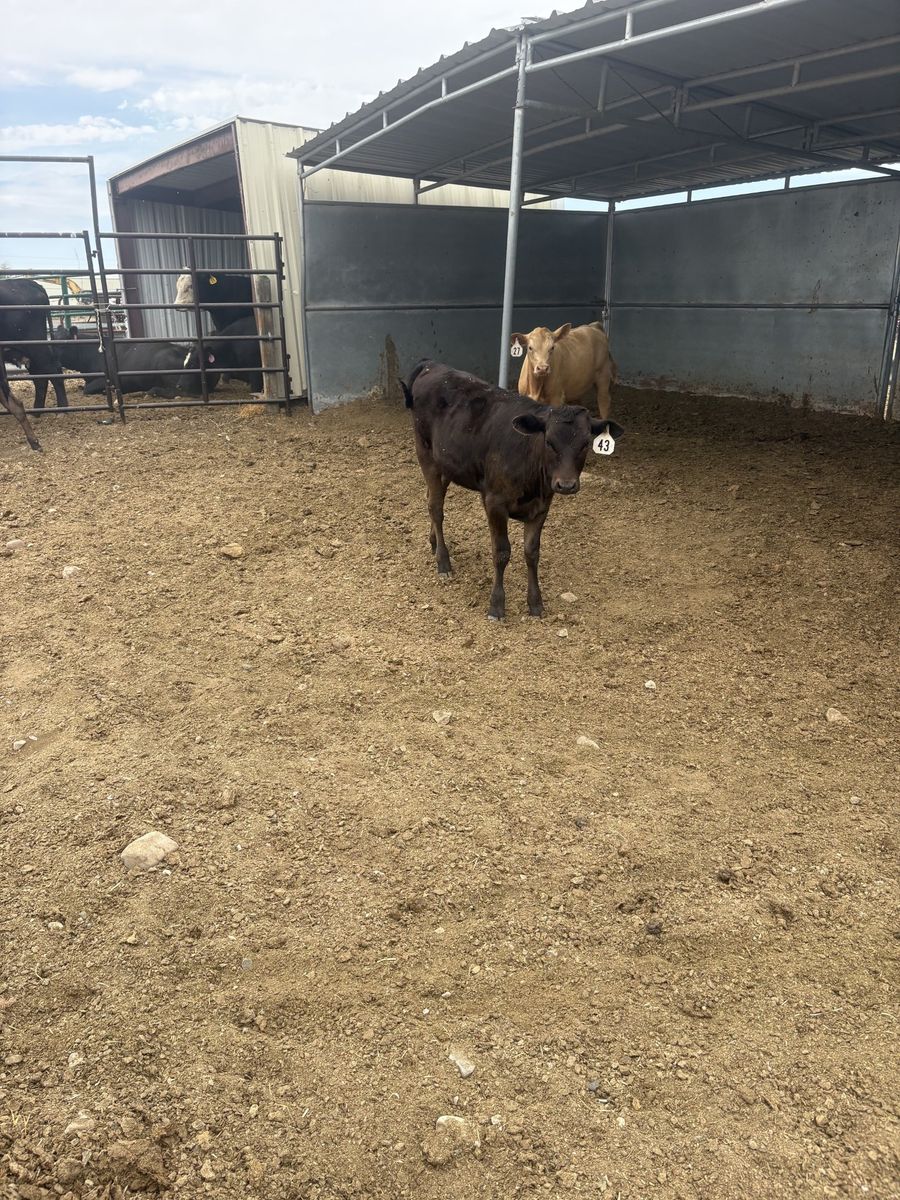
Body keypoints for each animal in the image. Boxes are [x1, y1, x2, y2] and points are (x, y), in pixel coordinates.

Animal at [0, 279, 68, 411]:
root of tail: (29, 282)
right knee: (40, 376)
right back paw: (37, 411)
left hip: (34, 345)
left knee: (52, 370)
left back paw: (62, 409)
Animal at [403, 360, 623, 620]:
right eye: (549, 441)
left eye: (585, 444)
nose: (566, 485)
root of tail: (431, 365)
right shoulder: (494, 503)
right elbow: (501, 552)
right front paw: (497, 605)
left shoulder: (541, 507)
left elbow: (532, 553)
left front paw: (535, 603)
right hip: (426, 455)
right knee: (435, 508)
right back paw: (443, 562)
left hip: (447, 464)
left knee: (432, 499)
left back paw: (434, 543)